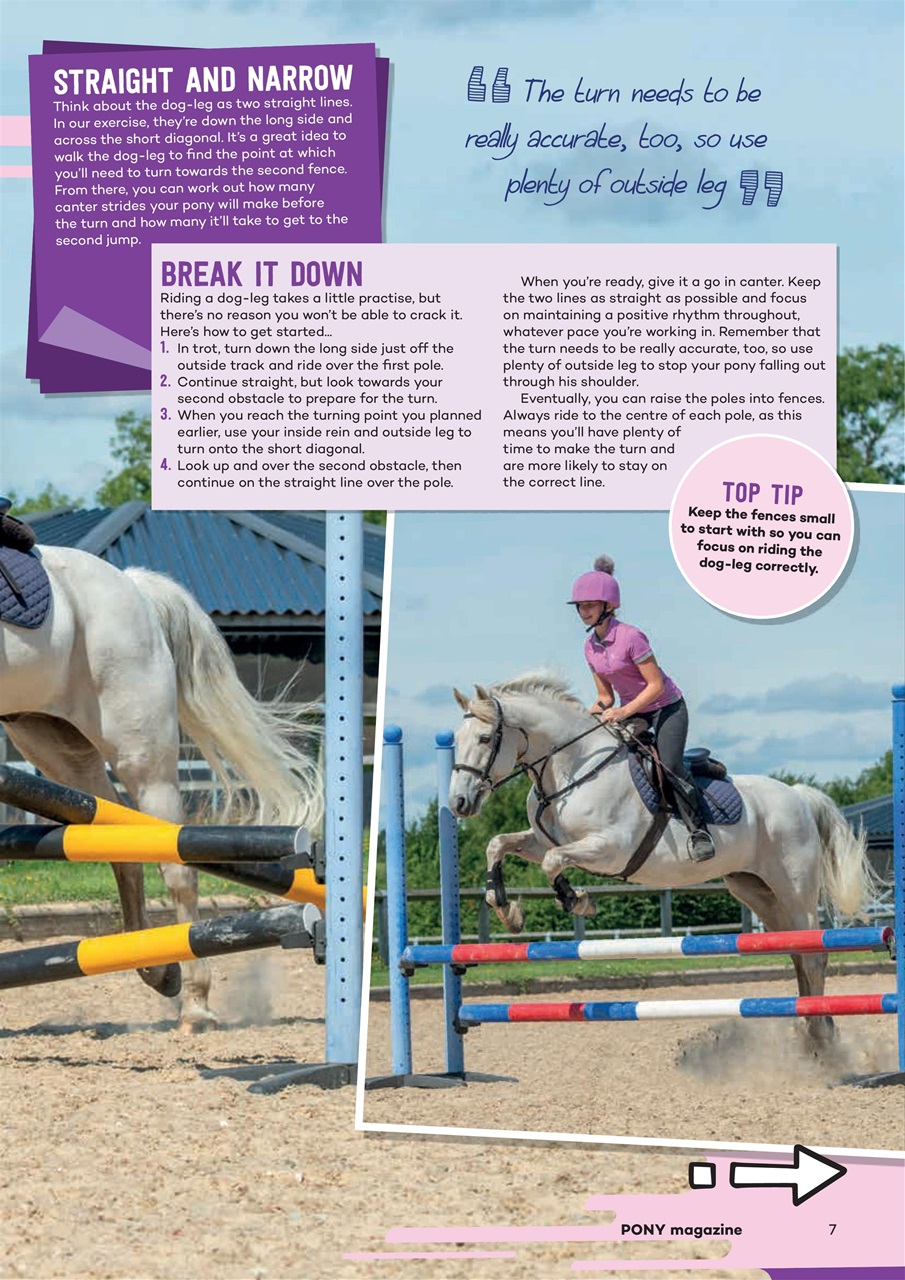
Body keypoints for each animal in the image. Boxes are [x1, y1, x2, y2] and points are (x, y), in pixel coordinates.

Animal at [0, 543, 322, 1031]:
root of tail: (133, 586)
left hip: (140, 754)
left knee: (175, 867)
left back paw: (194, 1002)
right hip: (54, 741)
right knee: (121, 849)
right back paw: (157, 971)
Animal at [449, 674, 879, 1048]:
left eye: (485, 738)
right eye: (454, 740)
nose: (459, 803)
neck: (573, 769)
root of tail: (798, 794)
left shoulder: (610, 848)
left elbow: (553, 862)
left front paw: (578, 901)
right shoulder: (541, 840)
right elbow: (497, 845)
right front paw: (507, 910)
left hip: (795, 888)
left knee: (815, 955)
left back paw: (821, 1034)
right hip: (756, 891)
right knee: (797, 951)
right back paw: (810, 1029)